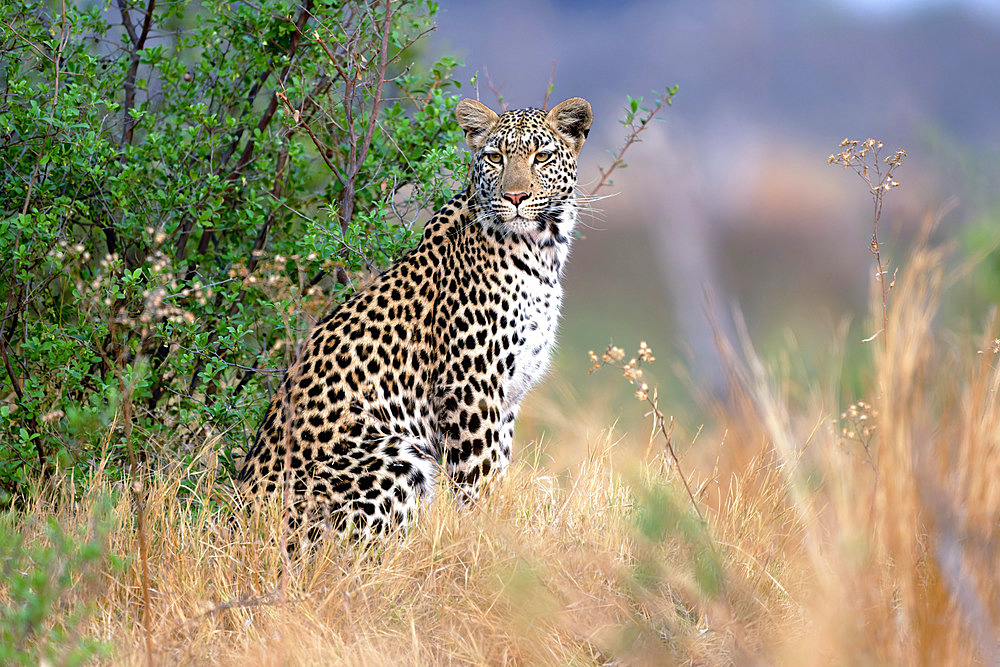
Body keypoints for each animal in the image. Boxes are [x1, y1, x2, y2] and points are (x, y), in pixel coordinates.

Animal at [236, 96, 592, 540]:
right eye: (494, 157)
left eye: (541, 157)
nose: (514, 196)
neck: (543, 250)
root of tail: (234, 521)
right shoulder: (470, 388)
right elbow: (480, 480)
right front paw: (486, 542)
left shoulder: (508, 393)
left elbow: (498, 469)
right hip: (393, 458)